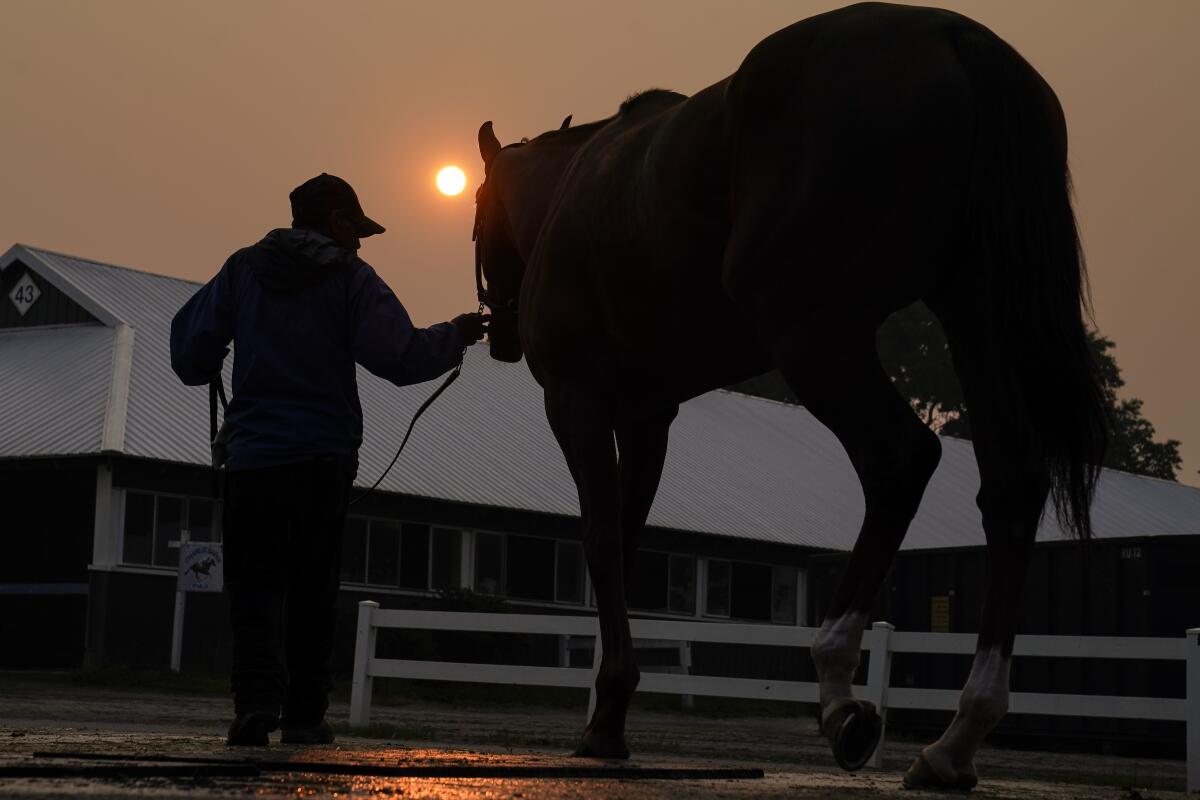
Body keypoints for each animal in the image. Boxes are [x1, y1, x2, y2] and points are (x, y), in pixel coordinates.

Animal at [465, 1, 1104, 786]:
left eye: (477, 212)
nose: (499, 330)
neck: (574, 191)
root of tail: (951, 37)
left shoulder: (577, 400)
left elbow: (602, 539)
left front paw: (607, 716)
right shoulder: (647, 414)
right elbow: (628, 535)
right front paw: (609, 711)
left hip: (811, 332)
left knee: (899, 460)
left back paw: (840, 694)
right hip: (976, 319)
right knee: (1010, 485)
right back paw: (955, 740)